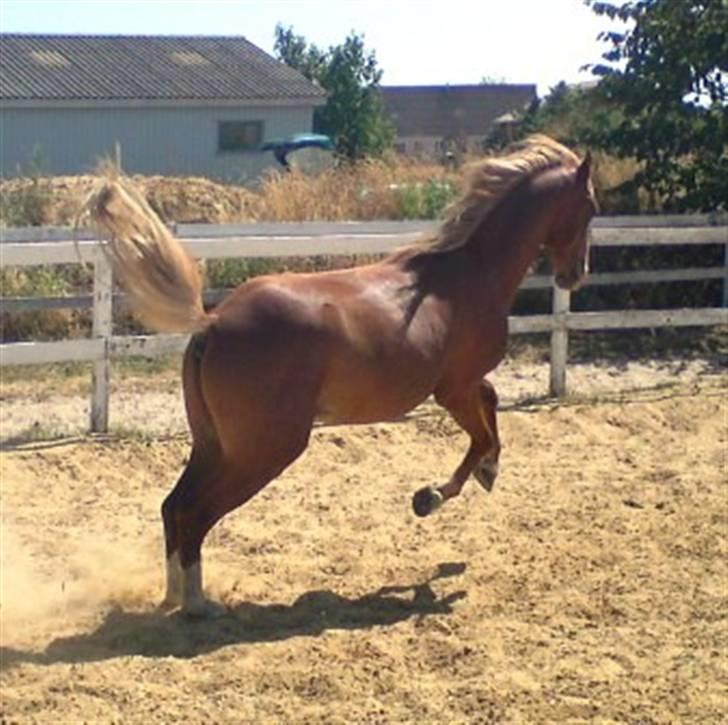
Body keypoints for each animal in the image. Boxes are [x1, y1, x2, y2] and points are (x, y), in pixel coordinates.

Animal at [81, 135, 597, 617]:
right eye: (590, 208)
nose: (576, 276)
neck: (466, 276)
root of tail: (213, 321)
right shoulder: (452, 387)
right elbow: (480, 429)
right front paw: (431, 496)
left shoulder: (462, 384)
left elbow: (490, 407)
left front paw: (485, 472)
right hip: (264, 450)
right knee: (195, 512)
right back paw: (197, 604)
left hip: (214, 444)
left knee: (173, 505)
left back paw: (173, 595)